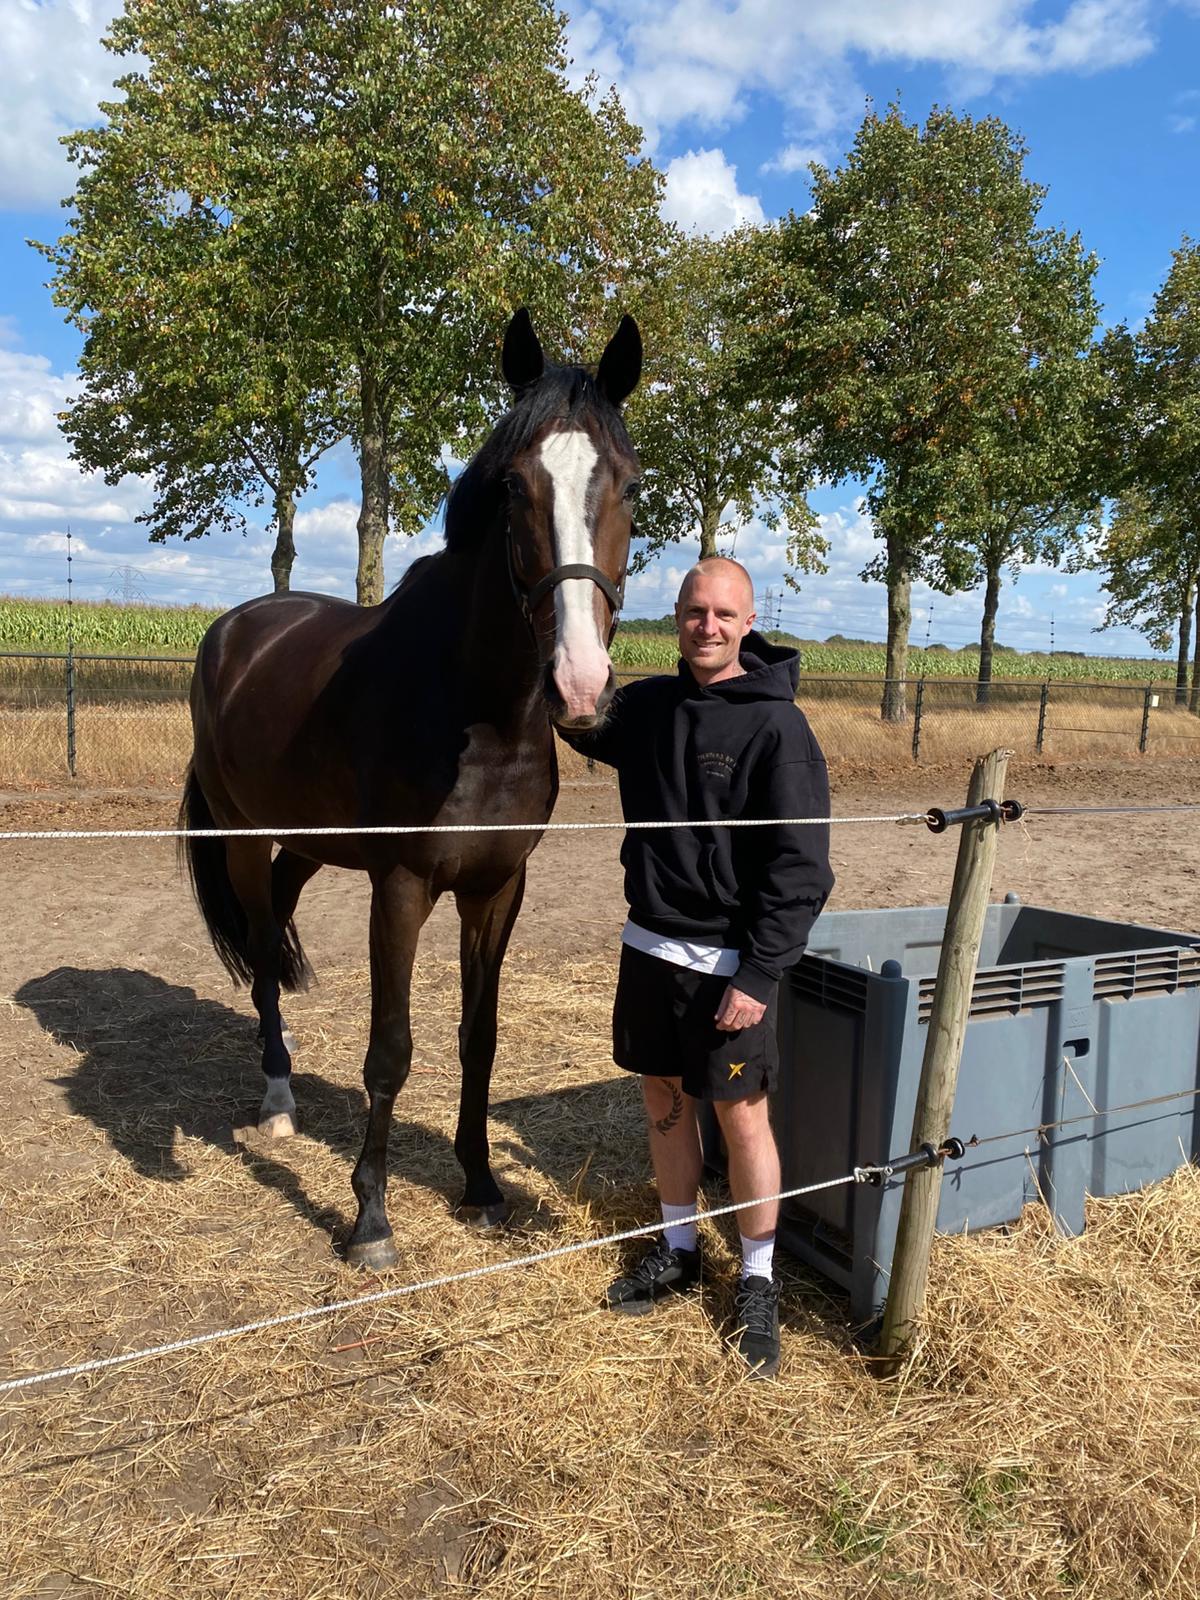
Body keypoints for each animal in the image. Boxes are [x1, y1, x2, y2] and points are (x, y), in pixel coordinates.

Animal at [179, 308, 642, 1267]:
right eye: (512, 486)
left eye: (630, 485)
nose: (581, 685)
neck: (480, 714)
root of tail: (234, 629)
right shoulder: (401, 886)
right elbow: (390, 1049)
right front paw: (370, 1220)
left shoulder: (497, 887)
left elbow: (479, 1037)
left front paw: (481, 1185)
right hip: (243, 837)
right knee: (262, 949)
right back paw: (276, 1097)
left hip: (308, 845)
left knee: (277, 922)